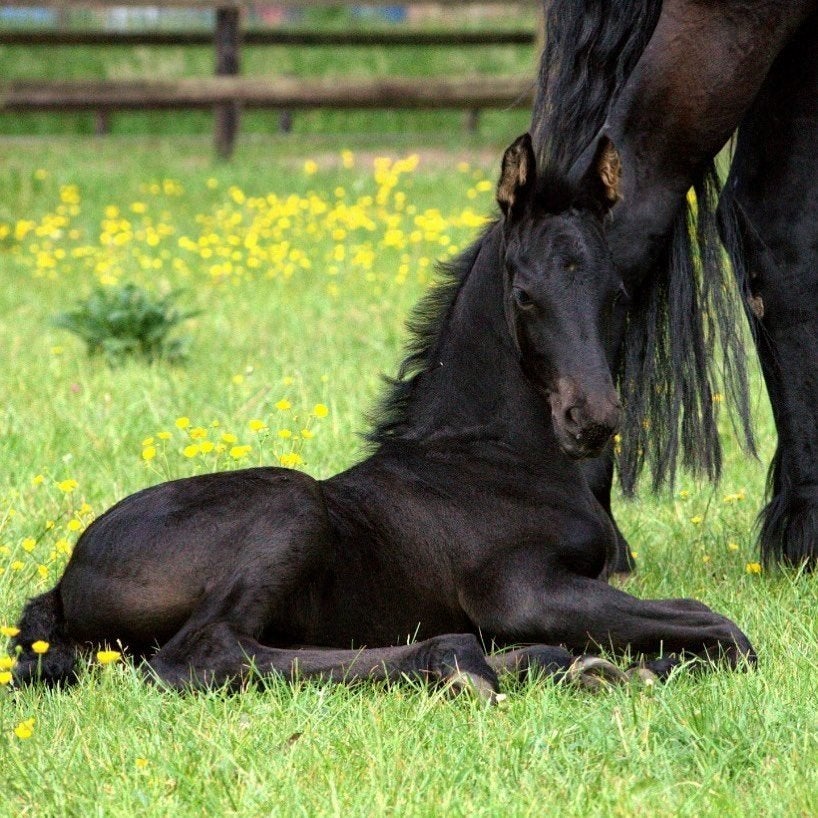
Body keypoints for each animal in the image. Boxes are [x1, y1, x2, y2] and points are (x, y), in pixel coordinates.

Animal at [11, 134, 754, 697]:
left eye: (617, 292)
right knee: (205, 657)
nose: (592, 419)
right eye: (525, 296)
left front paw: (634, 665)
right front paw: (644, 664)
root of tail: (65, 584)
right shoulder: (521, 592)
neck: (495, 457)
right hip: (288, 506)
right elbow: (722, 627)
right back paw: (462, 661)